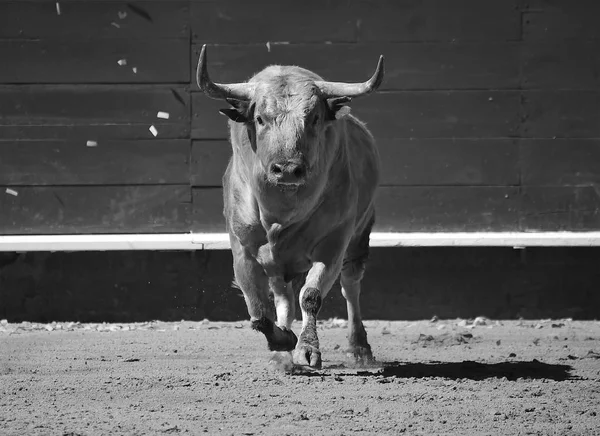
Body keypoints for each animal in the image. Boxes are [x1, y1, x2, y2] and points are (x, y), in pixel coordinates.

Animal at [197, 46, 384, 368]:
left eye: (315, 118)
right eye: (260, 118)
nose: (287, 169)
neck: (280, 211)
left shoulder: (333, 242)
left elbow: (311, 295)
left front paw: (307, 348)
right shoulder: (243, 248)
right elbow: (259, 312)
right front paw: (283, 341)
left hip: (359, 235)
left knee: (350, 285)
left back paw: (359, 349)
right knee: (283, 296)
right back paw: (283, 350)